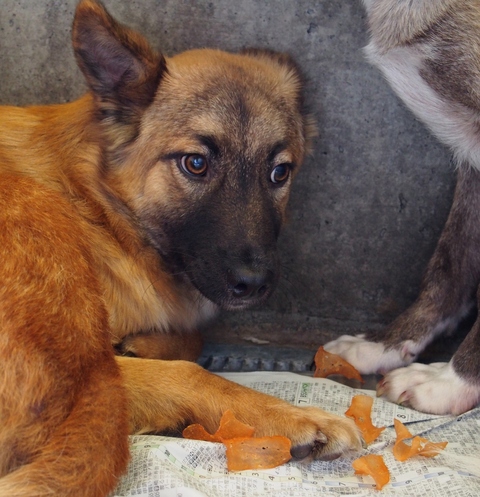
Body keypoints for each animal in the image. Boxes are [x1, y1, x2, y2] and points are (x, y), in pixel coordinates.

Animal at [0, 1, 360, 494]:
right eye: (195, 163)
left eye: (279, 172)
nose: (255, 284)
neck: (96, 207)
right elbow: (189, 362)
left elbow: (191, 337)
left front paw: (147, 343)